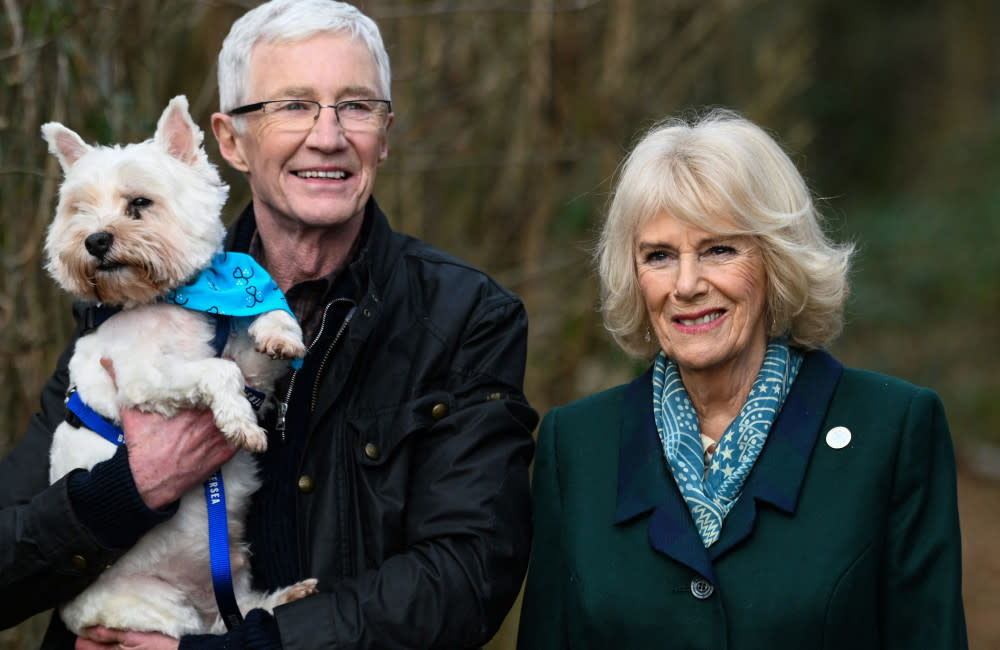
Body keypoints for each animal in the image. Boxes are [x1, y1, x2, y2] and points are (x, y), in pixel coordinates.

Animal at [42, 95, 316, 632]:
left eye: (138, 204)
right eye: (79, 210)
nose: (95, 241)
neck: (172, 297)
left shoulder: (248, 357)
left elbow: (263, 320)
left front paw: (280, 333)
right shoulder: (143, 379)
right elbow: (218, 371)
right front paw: (240, 424)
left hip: (231, 590)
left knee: (246, 613)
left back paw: (290, 595)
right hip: (158, 610)